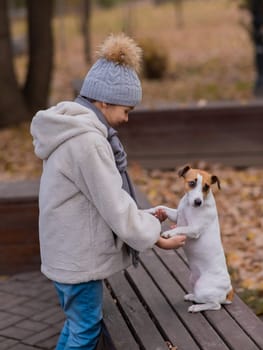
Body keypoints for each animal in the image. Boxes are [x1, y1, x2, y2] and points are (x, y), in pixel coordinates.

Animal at [147, 165, 234, 314]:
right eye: (192, 183)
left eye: (206, 187)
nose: (198, 202)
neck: (189, 206)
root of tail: (228, 290)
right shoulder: (176, 215)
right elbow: (161, 207)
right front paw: (147, 211)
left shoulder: (194, 229)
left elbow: (181, 228)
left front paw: (169, 233)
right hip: (194, 281)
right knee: (202, 298)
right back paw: (192, 297)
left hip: (203, 287)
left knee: (215, 305)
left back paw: (196, 307)